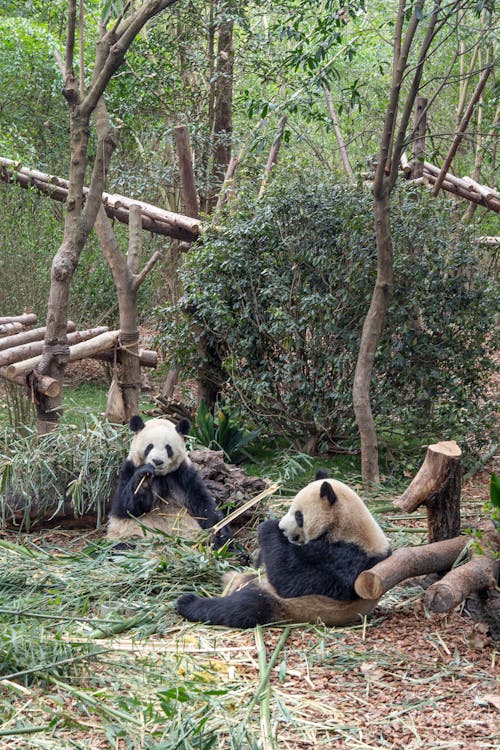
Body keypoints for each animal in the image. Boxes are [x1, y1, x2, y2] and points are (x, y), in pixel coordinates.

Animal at [106, 414, 229, 548]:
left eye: (168, 448)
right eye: (149, 447)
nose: (157, 461)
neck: (160, 476)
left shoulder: (183, 475)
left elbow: (204, 505)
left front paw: (221, 533)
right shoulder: (129, 470)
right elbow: (125, 508)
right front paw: (144, 479)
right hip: (131, 536)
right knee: (121, 547)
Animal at [176, 476, 390, 628]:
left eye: (298, 515)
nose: (282, 527)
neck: (347, 527)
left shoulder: (348, 558)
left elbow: (295, 581)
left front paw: (268, 527)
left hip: (289, 606)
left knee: (241, 608)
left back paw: (188, 602)